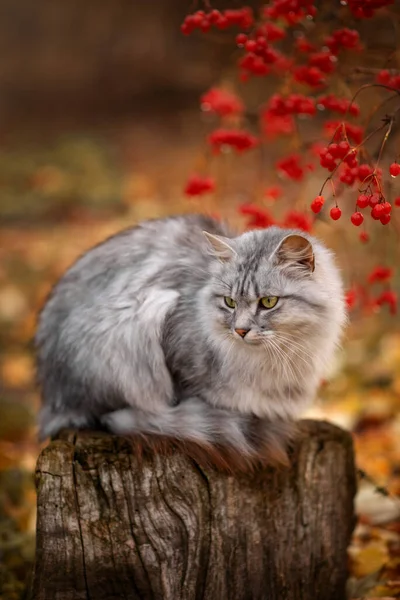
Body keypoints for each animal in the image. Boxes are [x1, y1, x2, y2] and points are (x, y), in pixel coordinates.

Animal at [35, 214, 346, 464]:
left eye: (268, 302)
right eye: (230, 302)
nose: (240, 330)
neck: (274, 361)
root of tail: (52, 397)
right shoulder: (174, 341)